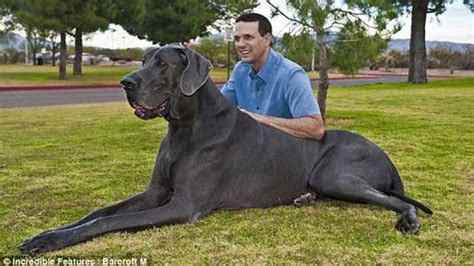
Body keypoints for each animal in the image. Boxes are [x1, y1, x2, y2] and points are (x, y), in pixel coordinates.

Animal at [20, 45, 432, 256]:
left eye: (162, 63)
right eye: (142, 60)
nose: (125, 82)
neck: (184, 127)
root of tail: (388, 159)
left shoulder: (183, 205)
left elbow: (108, 222)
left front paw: (53, 241)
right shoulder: (156, 192)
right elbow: (98, 212)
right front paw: (48, 234)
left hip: (332, 173)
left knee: (399, 201)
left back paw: (408, 220)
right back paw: (304, 199)